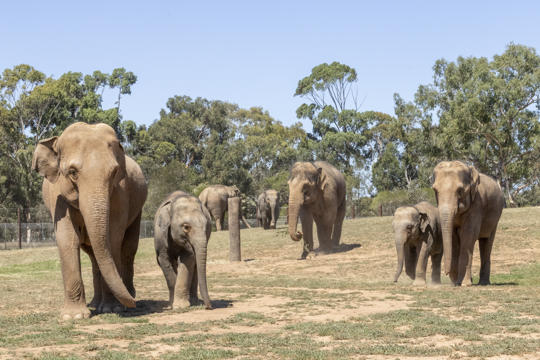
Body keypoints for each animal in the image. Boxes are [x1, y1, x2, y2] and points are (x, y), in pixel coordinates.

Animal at [32, 122, 147, 320]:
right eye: (72, 172)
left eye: (114, 172)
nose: (131, 302)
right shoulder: (58, 198)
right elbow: (67, 239)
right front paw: (74, 317)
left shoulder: (120, 194)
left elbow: (113, 239)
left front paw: (112, 309)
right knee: (94, 256)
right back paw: (97, 303)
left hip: (137, 210)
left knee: (128, 249)